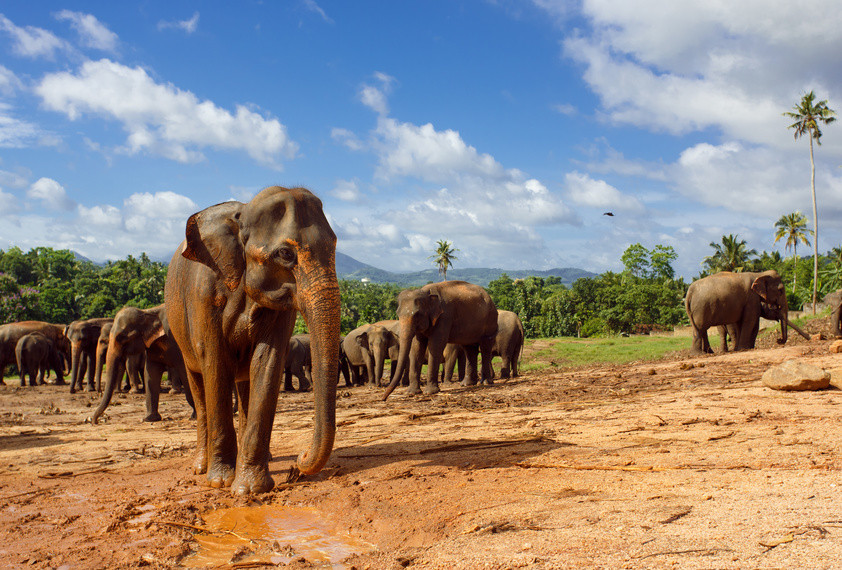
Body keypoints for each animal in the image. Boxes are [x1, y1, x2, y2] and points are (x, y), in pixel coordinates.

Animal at [166, 186, 340, 492]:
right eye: (285, 253)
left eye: (334, 245)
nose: (301, 458)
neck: (242, 214)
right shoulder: (203, 297)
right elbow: (215, 365)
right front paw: (220, 481)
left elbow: (267, 361)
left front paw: (251, 488)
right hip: (180, 334)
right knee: (199, 386)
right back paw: (201, 467)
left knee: (245, 381)